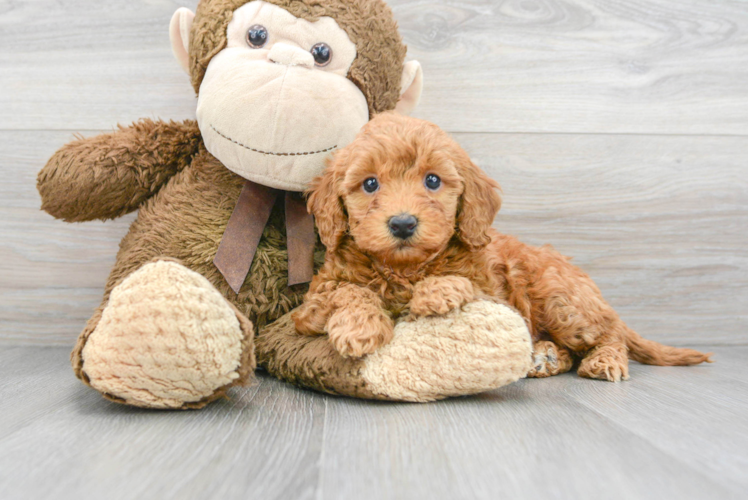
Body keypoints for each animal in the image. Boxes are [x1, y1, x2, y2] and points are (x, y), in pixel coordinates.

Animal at [290, 111, 712, 380]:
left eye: (432, 180)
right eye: (370, 184)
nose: (403, 223)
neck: (405, 268)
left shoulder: (498, 297)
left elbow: (466, 284)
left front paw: (436, 291)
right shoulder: (309, 308)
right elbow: (347, 290)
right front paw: (359, 327)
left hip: (562, 301)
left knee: (608, 336)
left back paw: (602, 361)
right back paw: (544, 358)